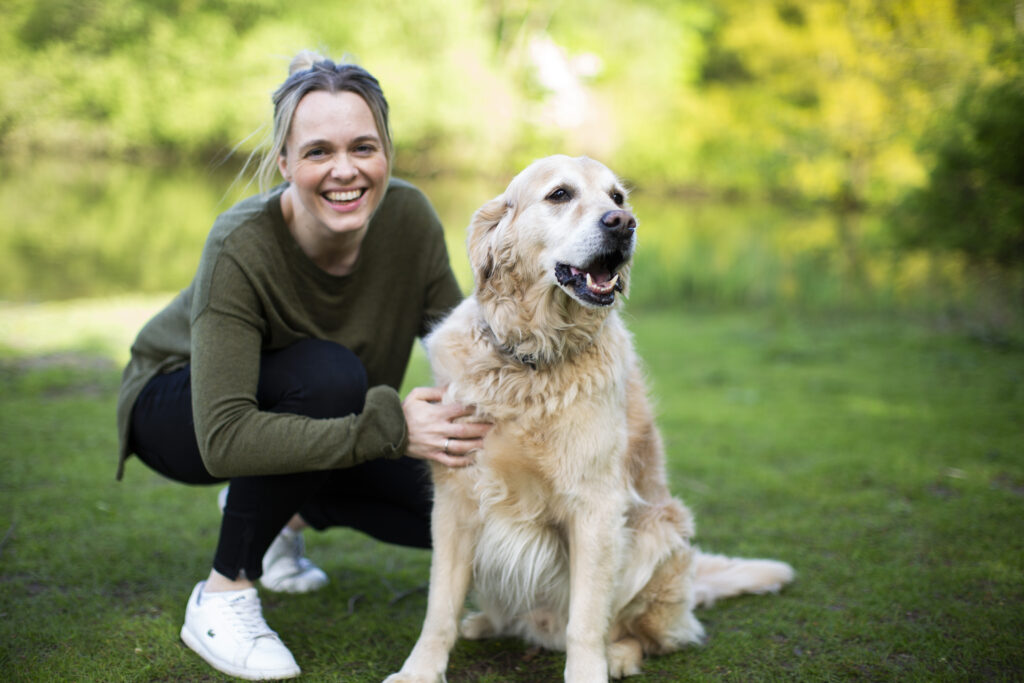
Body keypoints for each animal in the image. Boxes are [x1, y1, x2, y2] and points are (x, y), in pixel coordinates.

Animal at [385, 157, 790, 679]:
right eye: (560, 194)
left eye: (617, 197)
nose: (624, 223)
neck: (532, 361)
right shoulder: (455, 501)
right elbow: (439, 607)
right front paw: (419, 670)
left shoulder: (596, 506)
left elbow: (587, 619)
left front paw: (588, 671)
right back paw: (485, 623)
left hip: (660, 533)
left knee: (647, 635)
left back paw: (618, 655)